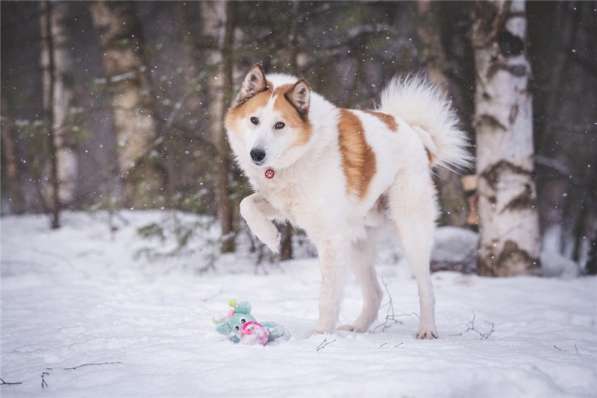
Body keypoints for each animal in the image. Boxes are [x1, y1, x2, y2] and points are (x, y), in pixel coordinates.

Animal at [225, 65, 470, 338]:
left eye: (280, 125)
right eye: (254, 120)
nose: (256, 154)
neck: (302, 152)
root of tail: (413, 132)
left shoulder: (331, 240)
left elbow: (328, 296)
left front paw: (320, 335)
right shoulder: (283, 204)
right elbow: (246, 205)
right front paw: (270, 236)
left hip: (410, 231)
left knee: (425, 287)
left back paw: (427, 329)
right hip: (356, 244)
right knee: (375, 293)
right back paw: (357, 327)